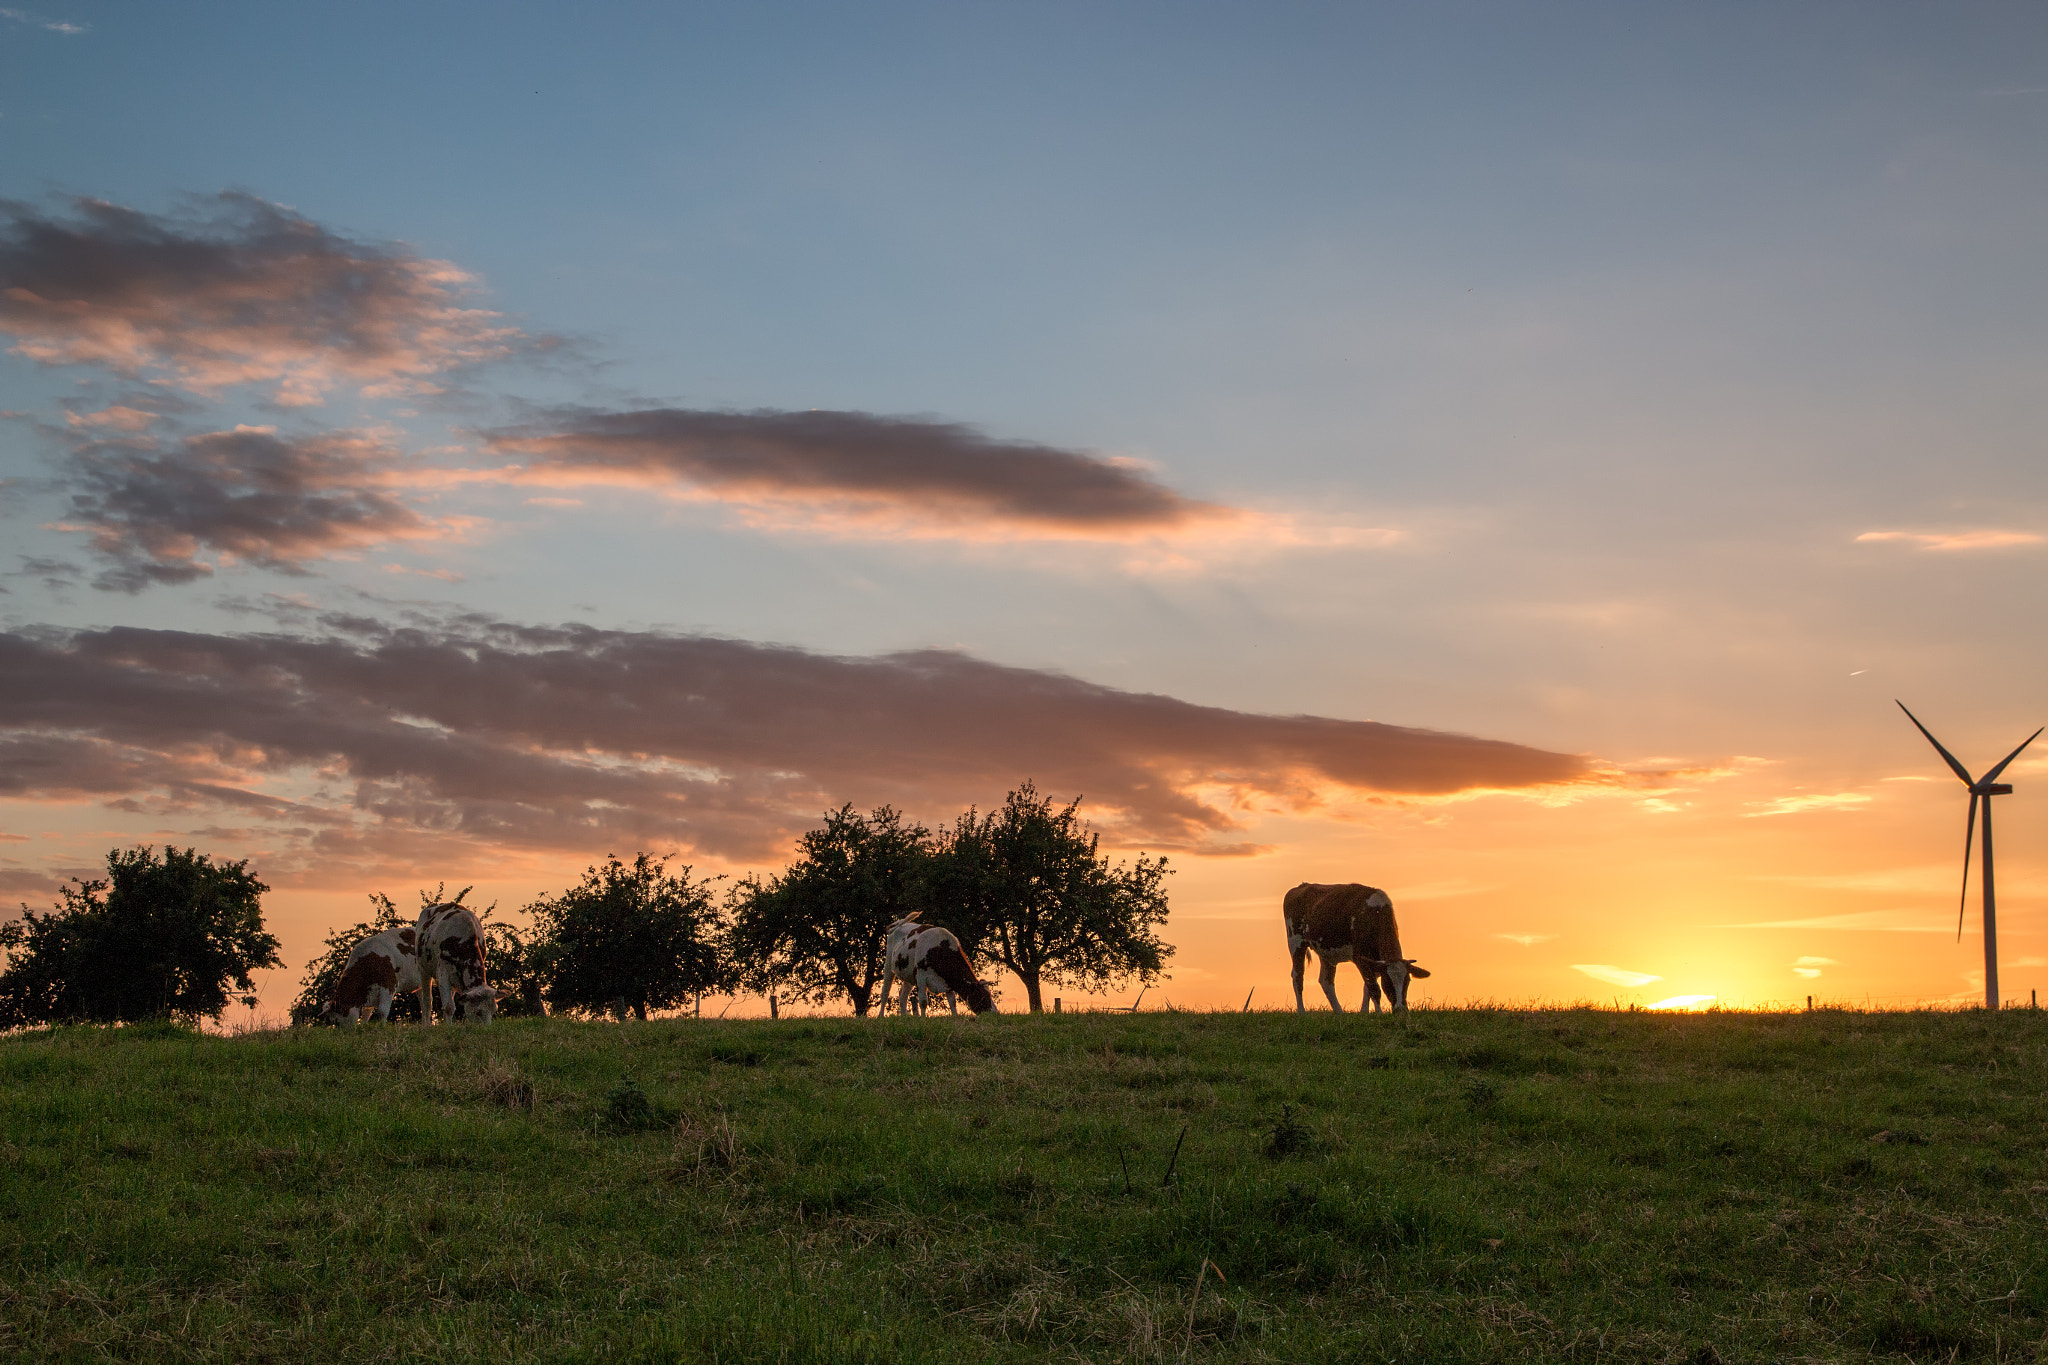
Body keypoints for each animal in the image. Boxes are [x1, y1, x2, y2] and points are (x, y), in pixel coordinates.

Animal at [1277, 888, 1425, 1015]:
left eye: (1407, 981)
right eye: (1388, 981)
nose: (1401, 1009)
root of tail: (1300, 887)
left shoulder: (1375, 962)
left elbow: (1368, 986)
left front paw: (1364, 1012)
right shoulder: (1360, 957)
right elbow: (1374, 988)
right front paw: (1379, 1013)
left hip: (1326, 951)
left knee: (1326, 981)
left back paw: (1339, 1012)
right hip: (1296, 942)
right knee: (1297, 975)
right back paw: (1301, 1011)